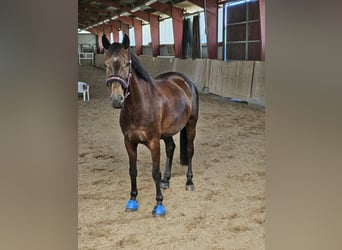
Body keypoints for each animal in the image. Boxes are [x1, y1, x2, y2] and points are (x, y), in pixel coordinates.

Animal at [100, 33, 199, 217]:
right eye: (106, 64)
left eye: (127, 63)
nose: (117, 99)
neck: (139, 105)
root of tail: (185, 80)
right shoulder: (129, 143)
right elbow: (133, 171)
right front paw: (132, 200)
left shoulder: (153, 142)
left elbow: (155, 172)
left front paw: (159, 204)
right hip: (167, 133)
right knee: (171, 148)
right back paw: (166, 180)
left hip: (191, 125)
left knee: (189, 150)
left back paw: (189, 182)